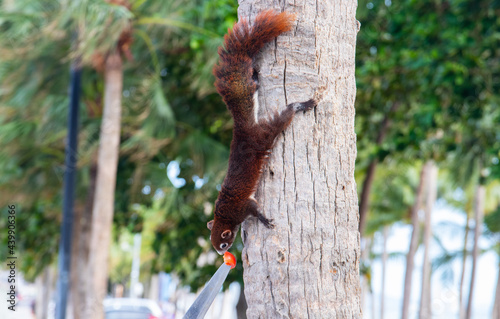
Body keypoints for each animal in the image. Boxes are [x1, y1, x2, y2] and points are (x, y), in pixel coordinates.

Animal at [207, 10, 316, 255]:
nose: (223, 254)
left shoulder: (242, 207)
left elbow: (255, 210)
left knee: (284, 116)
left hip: (263, 136)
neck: (223, 215)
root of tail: (242, 129)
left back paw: (302, 105)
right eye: (215, 246)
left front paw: (265, 220)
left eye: (223, 243)